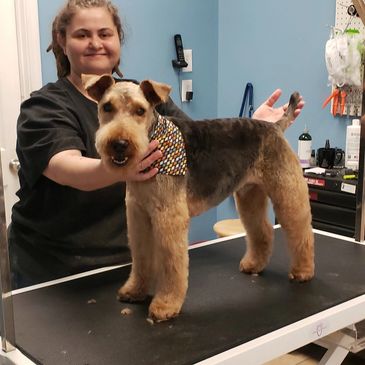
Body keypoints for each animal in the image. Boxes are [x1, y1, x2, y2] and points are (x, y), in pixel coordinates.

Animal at [82, 74, 312, 322]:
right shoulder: (139, 215)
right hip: (249, 195)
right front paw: (134, 291)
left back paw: (303, 271)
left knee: (301, 231)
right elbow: (141, 258)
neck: (155, 143)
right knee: (263, 230)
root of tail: (274, 126)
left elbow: (171, 264)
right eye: (107, 107)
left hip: (287, 192)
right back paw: (254, 265)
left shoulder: (169, 216)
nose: (120, 144)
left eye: (140, 110)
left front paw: (165, 305)